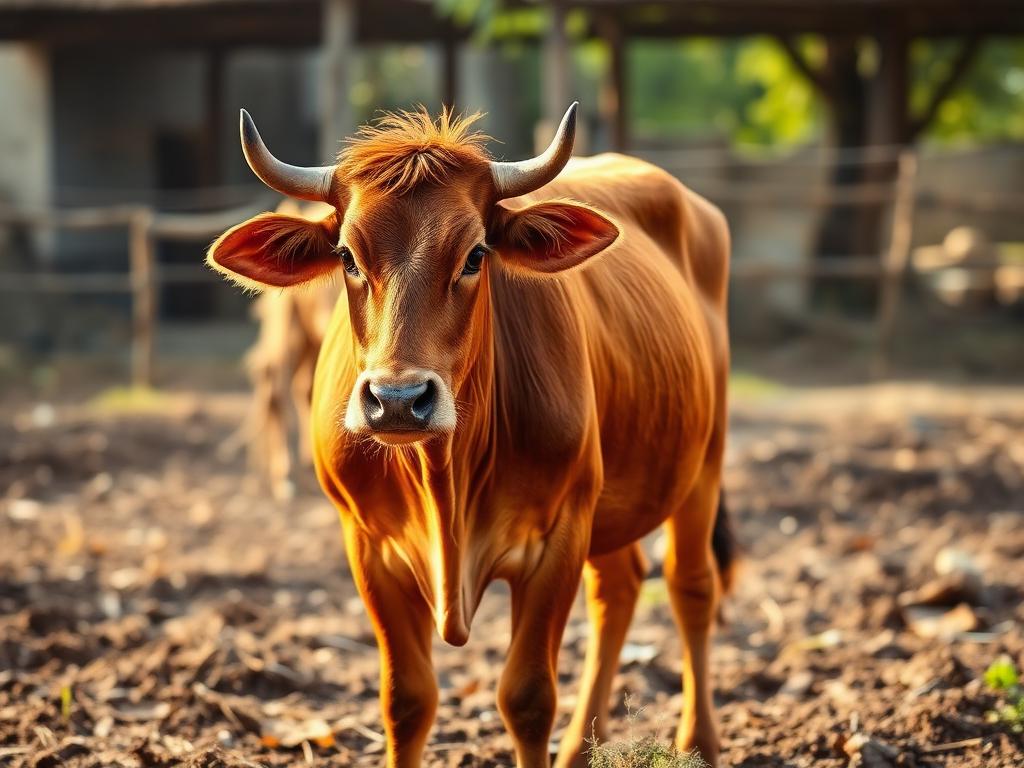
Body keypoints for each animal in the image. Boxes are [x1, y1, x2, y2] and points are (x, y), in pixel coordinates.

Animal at [207, 103, 735, 768]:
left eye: (476, 254)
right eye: (347, 256)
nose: (398, 400)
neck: (445, 482)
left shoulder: (561, 533)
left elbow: (527, 697)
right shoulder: (367, 543)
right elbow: (406, 699)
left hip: (704, 463)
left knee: (691, 588)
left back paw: (700, 741)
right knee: (618, 589)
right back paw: (579, 749)